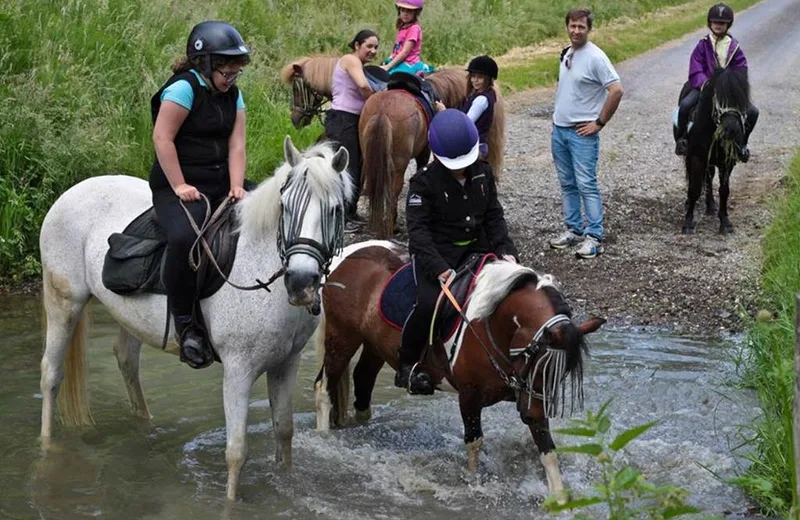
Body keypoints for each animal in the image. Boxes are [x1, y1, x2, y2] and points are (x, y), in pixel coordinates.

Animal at [37, 136, 350, 502]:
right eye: (284, 207)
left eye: (336, 210)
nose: (301, 283)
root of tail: (71, 192)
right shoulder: (238, 370)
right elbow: (236, 452)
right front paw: (230, 504)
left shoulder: (287, 363)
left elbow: (284, 433)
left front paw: (285, 485)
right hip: (64, 302)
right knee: (51, 374)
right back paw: (47, 447)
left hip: (128, 315)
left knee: (126, 361)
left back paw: (145, 425)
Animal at [310, 242, 604, 502]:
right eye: (535, 362)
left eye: (560, 373)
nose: (530, 413)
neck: (492, 322)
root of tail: (348, 254)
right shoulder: (470, 395)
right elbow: (474, 442)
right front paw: (473, 486)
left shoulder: (530, 396)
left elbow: (547, 447)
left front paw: (560, 498)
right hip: (342, 336)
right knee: (323, 387)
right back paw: (324, 439)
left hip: (374, 344)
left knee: (362, 381)